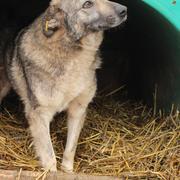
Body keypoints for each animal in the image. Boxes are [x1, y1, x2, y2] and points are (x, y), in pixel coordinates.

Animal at [0, 0, 127, 172]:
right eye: (87, 4)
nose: (124, 10)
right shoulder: (40, 114)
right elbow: (50, 157)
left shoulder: (78, 110)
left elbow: (70, 149)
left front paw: (68, 171)